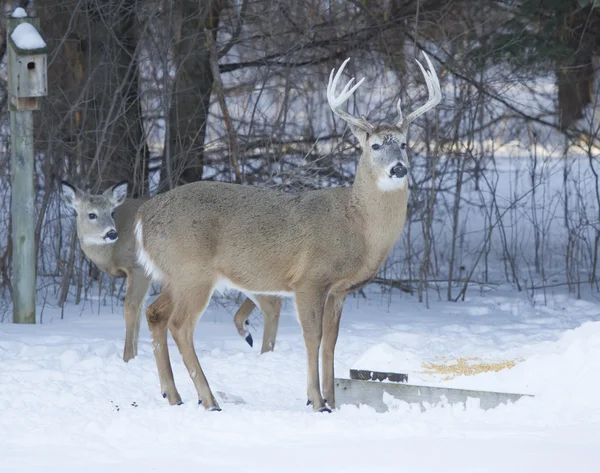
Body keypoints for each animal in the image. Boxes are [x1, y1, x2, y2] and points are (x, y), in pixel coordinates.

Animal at [59, 181, 280, 362]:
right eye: (92, 214)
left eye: (112, 212)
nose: (111, 233)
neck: (112, 253)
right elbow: (140, 311)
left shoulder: (139, 268)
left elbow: (131, 308)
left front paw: (128, 357)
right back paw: (249, 335)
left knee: (270, 298)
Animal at [136, 53, 442, 412]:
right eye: (376, 145)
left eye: (405, 144)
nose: (399, 168)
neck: (356, 225)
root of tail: (143, 218)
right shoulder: (310, 279)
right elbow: (313, 337)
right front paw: (316, 400)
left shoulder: (339, 290)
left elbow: (331, 342)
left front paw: (332, 399)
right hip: (193, 272)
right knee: (180, 325)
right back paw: (208, 399)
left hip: (175, 274)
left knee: (155, 314)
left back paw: (173, 395)